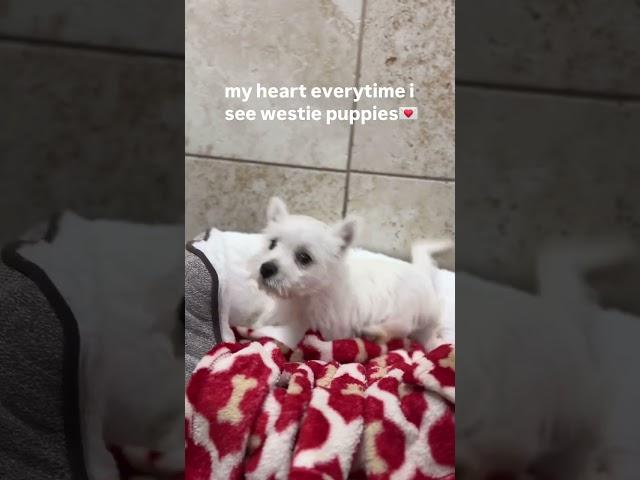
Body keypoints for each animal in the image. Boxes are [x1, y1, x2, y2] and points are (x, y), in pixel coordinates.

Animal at [251, 197, 450, 344]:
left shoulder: (326, 328)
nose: (266, 268)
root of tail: (421, 272)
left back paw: (375, 332)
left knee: (402, 326)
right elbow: (266, 318)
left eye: (304, 258)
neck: (303, 299)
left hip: (409, 307)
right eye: (272, 244)